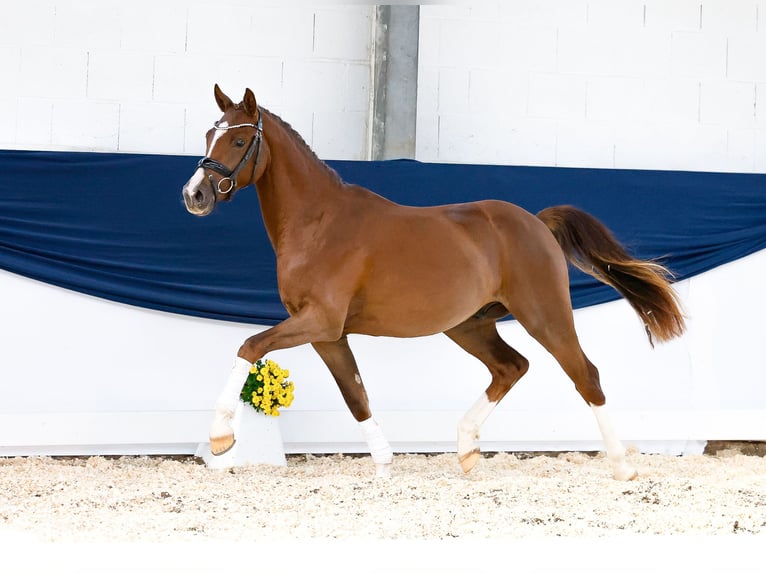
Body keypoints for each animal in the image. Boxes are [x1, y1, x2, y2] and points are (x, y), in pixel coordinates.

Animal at [183, 85, 688, 482]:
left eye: (240, 139)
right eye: (210, 134)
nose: (195, 195)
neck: (319, 224)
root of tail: (536, 222)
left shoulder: (319, 322)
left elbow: (250, 346)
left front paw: (221, 436)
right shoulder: (328, 334)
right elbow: (356, 394)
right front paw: (384, 465)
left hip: (544, 314)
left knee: (585, 375)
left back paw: (623, 467)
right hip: (469, 325)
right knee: (511, 367)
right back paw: (466, 450)